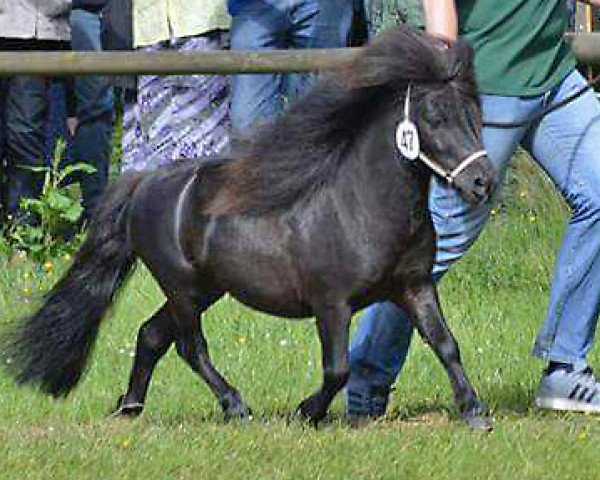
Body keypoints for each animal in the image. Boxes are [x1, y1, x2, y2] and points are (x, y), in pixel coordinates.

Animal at [2, 26, 494, 430]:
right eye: (434, 117)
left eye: (474, 114)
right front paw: (305, 413)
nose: (483, 181)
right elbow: (337, 369)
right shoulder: (331, 303)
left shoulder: (414, 286)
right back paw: (235, 407)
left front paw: (475, 413)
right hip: (180, 286)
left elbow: (445, 344)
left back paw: (130, 407)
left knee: (151, 335)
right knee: (189, 348)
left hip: (205, 289)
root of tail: (144, 182)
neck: (362, 208)